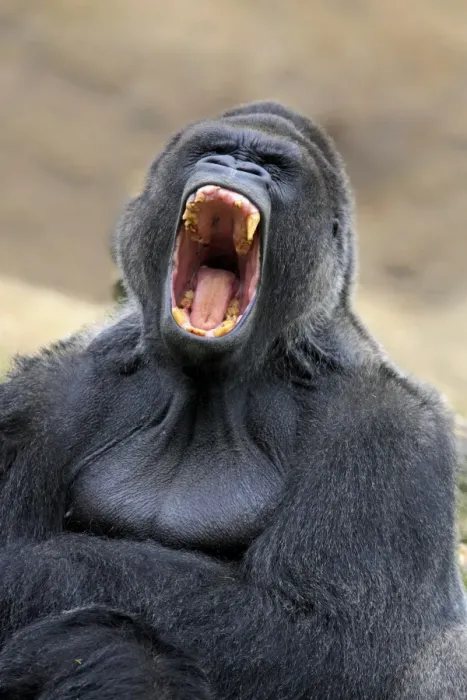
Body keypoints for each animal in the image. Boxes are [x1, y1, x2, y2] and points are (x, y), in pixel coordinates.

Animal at [0, 101, 466, 699]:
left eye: (273, 166)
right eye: (214, 151)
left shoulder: (386, 425)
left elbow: (326, 638)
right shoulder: (39, 401)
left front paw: (20, 579)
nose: (238, 167)